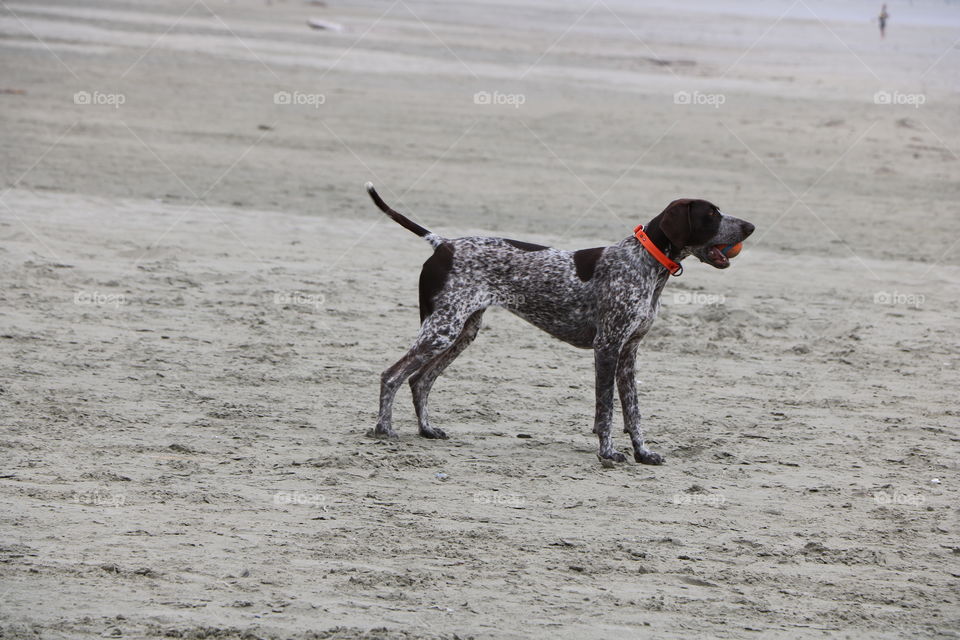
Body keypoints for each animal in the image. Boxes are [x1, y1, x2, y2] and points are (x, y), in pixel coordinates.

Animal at [364, 182, 752, 462]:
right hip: (441, 330)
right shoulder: (607, 347)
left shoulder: (629, 353)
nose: (750, 226)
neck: (645, 262)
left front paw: (643, 452)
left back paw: (426, 429)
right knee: (392, 375)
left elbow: (633, 411)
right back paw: (384, 430)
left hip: (461, 332)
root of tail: (443, 244)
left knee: (420, 380)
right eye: (711, 214)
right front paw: (608, 453)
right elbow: (607, 409)